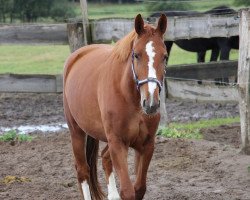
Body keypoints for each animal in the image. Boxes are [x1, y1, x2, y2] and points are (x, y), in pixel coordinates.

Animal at [63, 14, 167, 200]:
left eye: (165, 56)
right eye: (136, 55)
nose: (151, 104)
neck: (129, 98)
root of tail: (77, 55)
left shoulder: (146, 145)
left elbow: (139, 188)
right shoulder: (118, 144)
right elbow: (128, 191)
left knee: (104, 158)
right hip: (77, 132)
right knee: (83, 171)